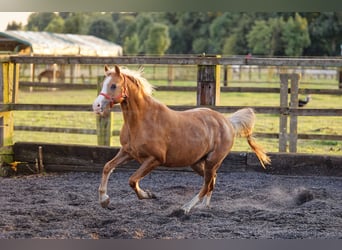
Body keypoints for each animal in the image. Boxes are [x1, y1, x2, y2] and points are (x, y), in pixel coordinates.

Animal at [93, 65, 270, 214]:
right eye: (104, 84)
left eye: (113, 85)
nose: (96, 106)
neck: (142, 120)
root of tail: (227, 122)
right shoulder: (127, 152)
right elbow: (107, 167)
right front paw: (104, 201)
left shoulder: (155, 159)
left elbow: (132, 180)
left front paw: (149, 195)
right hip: (197, 163)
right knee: (211, 181)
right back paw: (204, 206)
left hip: (212, 161)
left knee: (207, 184)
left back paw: (186, 208)